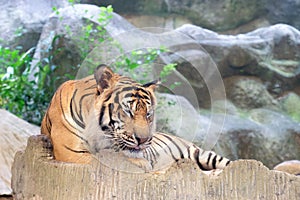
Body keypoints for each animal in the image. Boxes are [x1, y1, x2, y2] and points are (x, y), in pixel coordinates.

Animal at [41, 64, 231, 172]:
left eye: (148, 114)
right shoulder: (71, 152)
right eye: (127, 111)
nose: (144, 140)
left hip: (202, 154)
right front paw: (143, 164)